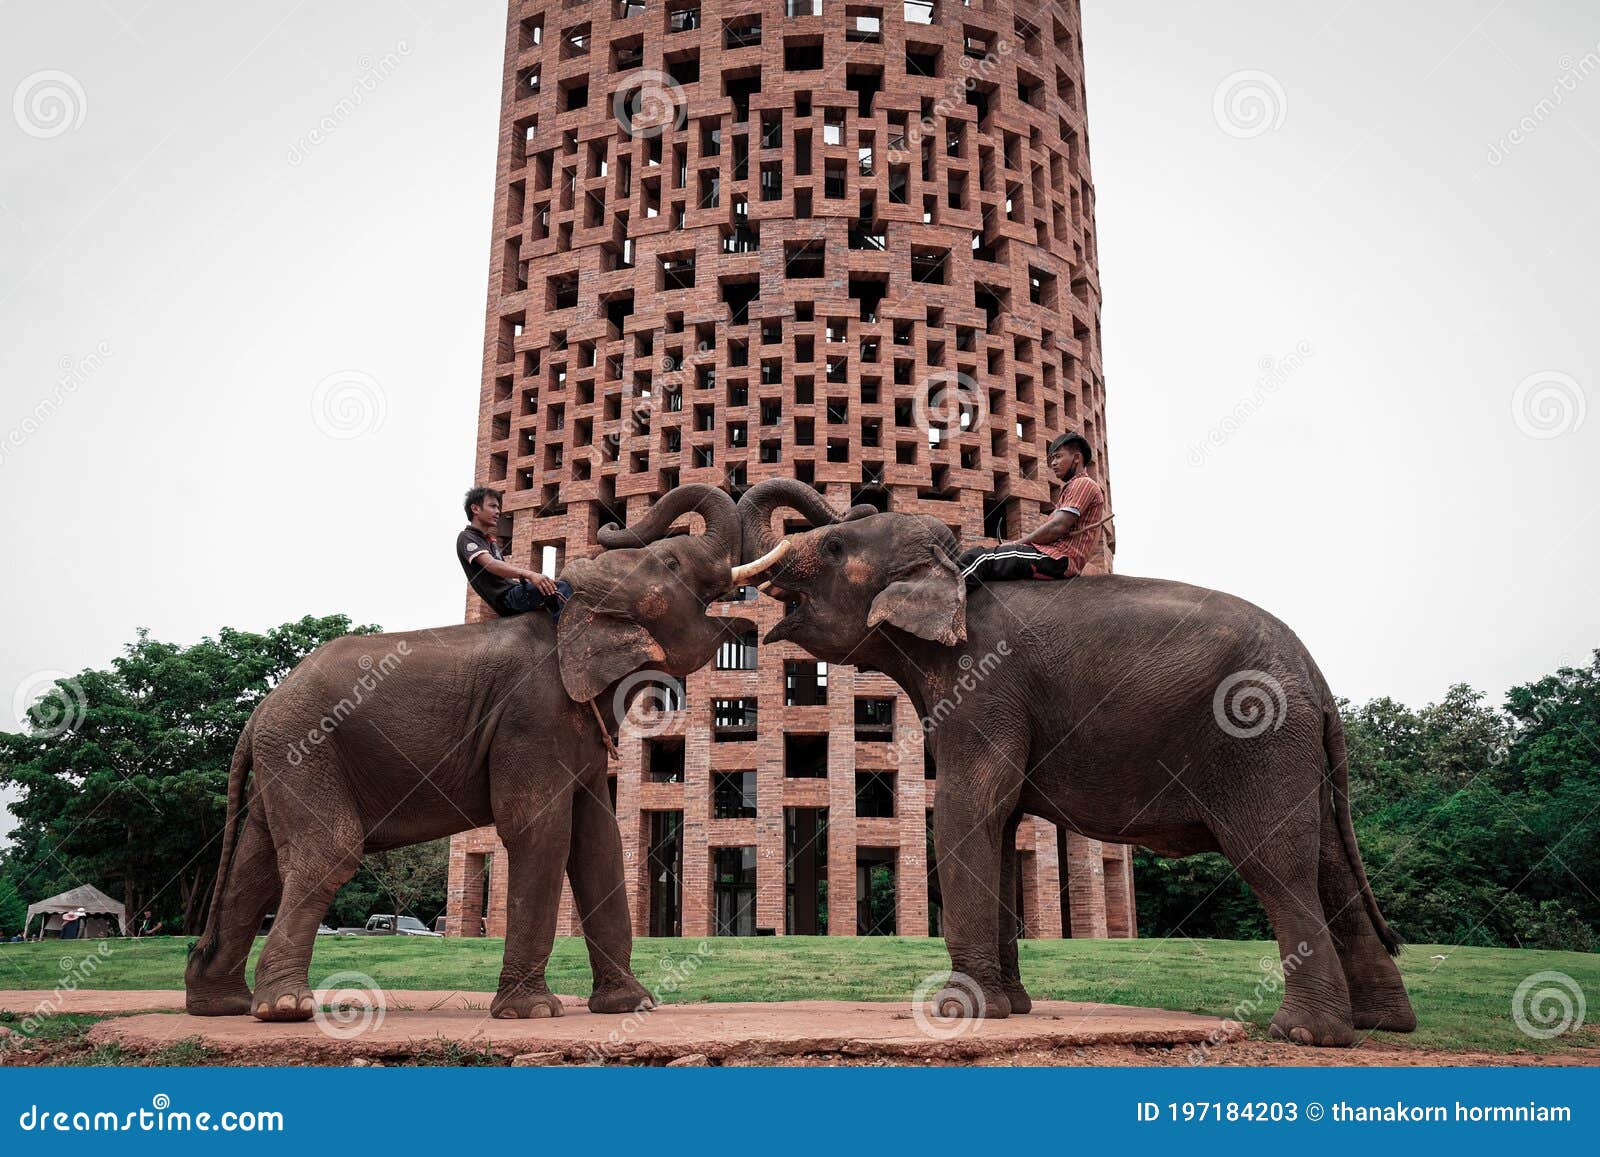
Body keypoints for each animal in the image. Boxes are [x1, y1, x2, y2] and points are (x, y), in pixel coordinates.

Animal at [185, 483, 787, 1024]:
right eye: (671, 562)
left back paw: (220, 1006)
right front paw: (533, 1012)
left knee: (255, 867)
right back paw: (284, 1009)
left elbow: (599, 841)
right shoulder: (532, 716)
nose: (610, 524)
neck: (571, 608)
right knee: (325, 854)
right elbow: (540, 830)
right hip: (305, 747)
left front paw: (630, 1005)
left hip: (289, 758)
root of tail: (258, 713)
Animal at [732, 480, 1414, 1049]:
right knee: (1331, 867)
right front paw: (1010, 1007)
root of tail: (1318, 679)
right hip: (1300, 756)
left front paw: (959, 1011)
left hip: (1260, 743)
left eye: (836, 545)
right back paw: (1382, 1024)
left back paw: (1304, 1034)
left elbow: (966, 812)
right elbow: (1001, 829)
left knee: (1279, 867)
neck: (957, 575)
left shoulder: (986, 687)